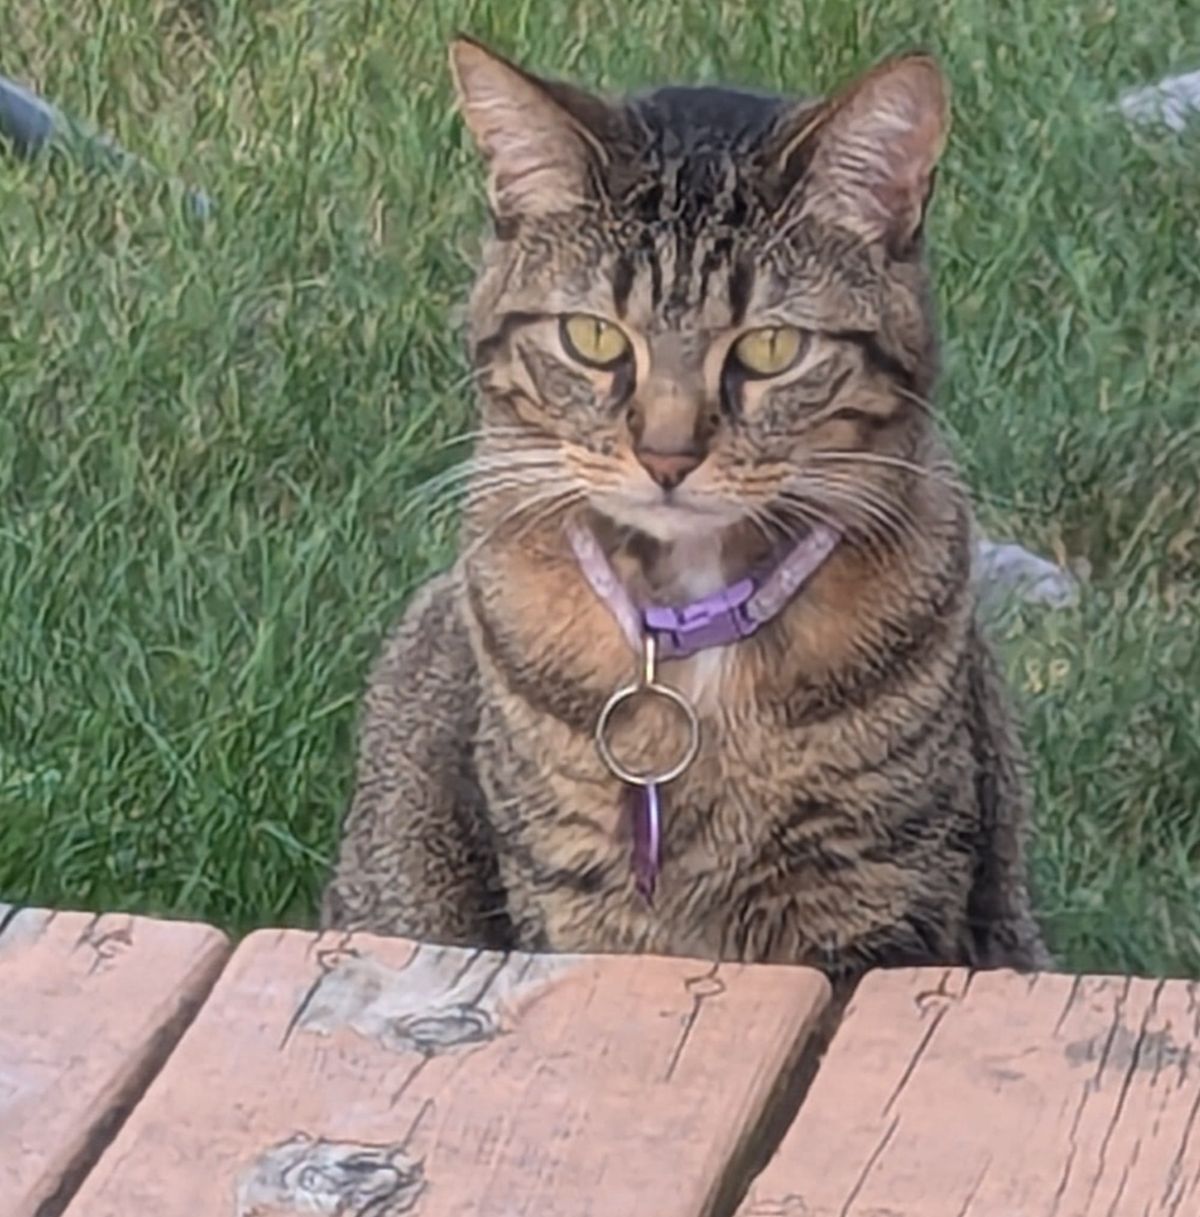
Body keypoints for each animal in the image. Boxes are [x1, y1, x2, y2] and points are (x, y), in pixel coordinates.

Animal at [318, 35, 1046, 978]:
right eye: (592, 337)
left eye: (770, 349)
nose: (667, 456)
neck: (691, 631)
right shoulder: (578, 899)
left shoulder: (883, 888)